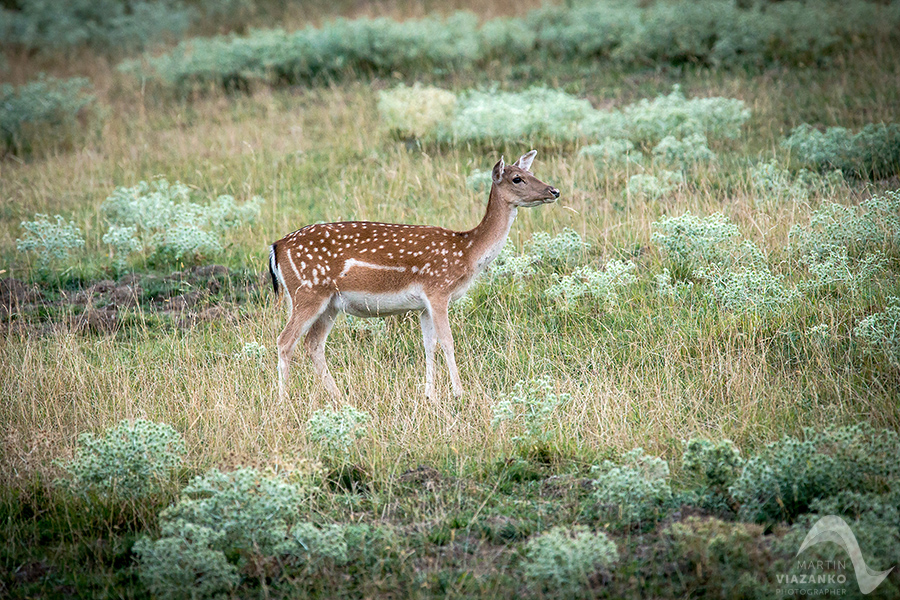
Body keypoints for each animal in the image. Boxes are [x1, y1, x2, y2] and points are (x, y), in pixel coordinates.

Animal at [270, 151, 560, 398]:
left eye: (531, 171)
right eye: (517, 178)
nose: (554, 190)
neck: (466, 252)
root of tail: (276, 247)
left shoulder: (423, 305)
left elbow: (429, 345)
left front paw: (430, 395)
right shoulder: (438, 289)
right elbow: (448, 341)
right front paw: (459, 393)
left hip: (329, 303)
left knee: (313, 343)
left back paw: (339, 397)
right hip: (308, 291)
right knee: (285, 340)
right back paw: (285, 400)